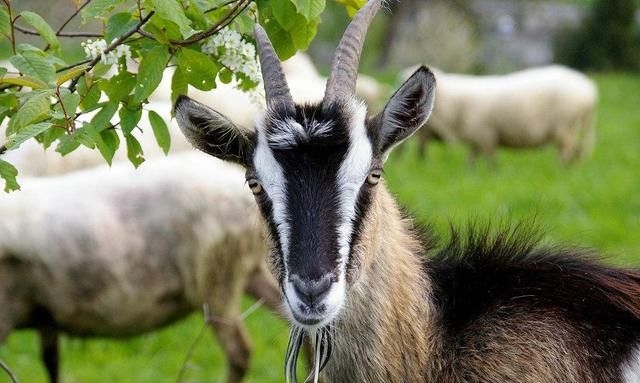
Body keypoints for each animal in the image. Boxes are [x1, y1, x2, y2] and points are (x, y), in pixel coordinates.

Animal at [404, 65, 600, 164]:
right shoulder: (478, 137)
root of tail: (588, 89)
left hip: (564, 125)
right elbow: (472, 159)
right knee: (577, 148)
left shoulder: (485, 135)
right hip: (572, 125)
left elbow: (491, 160)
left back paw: (560, 167)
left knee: (568, 149)